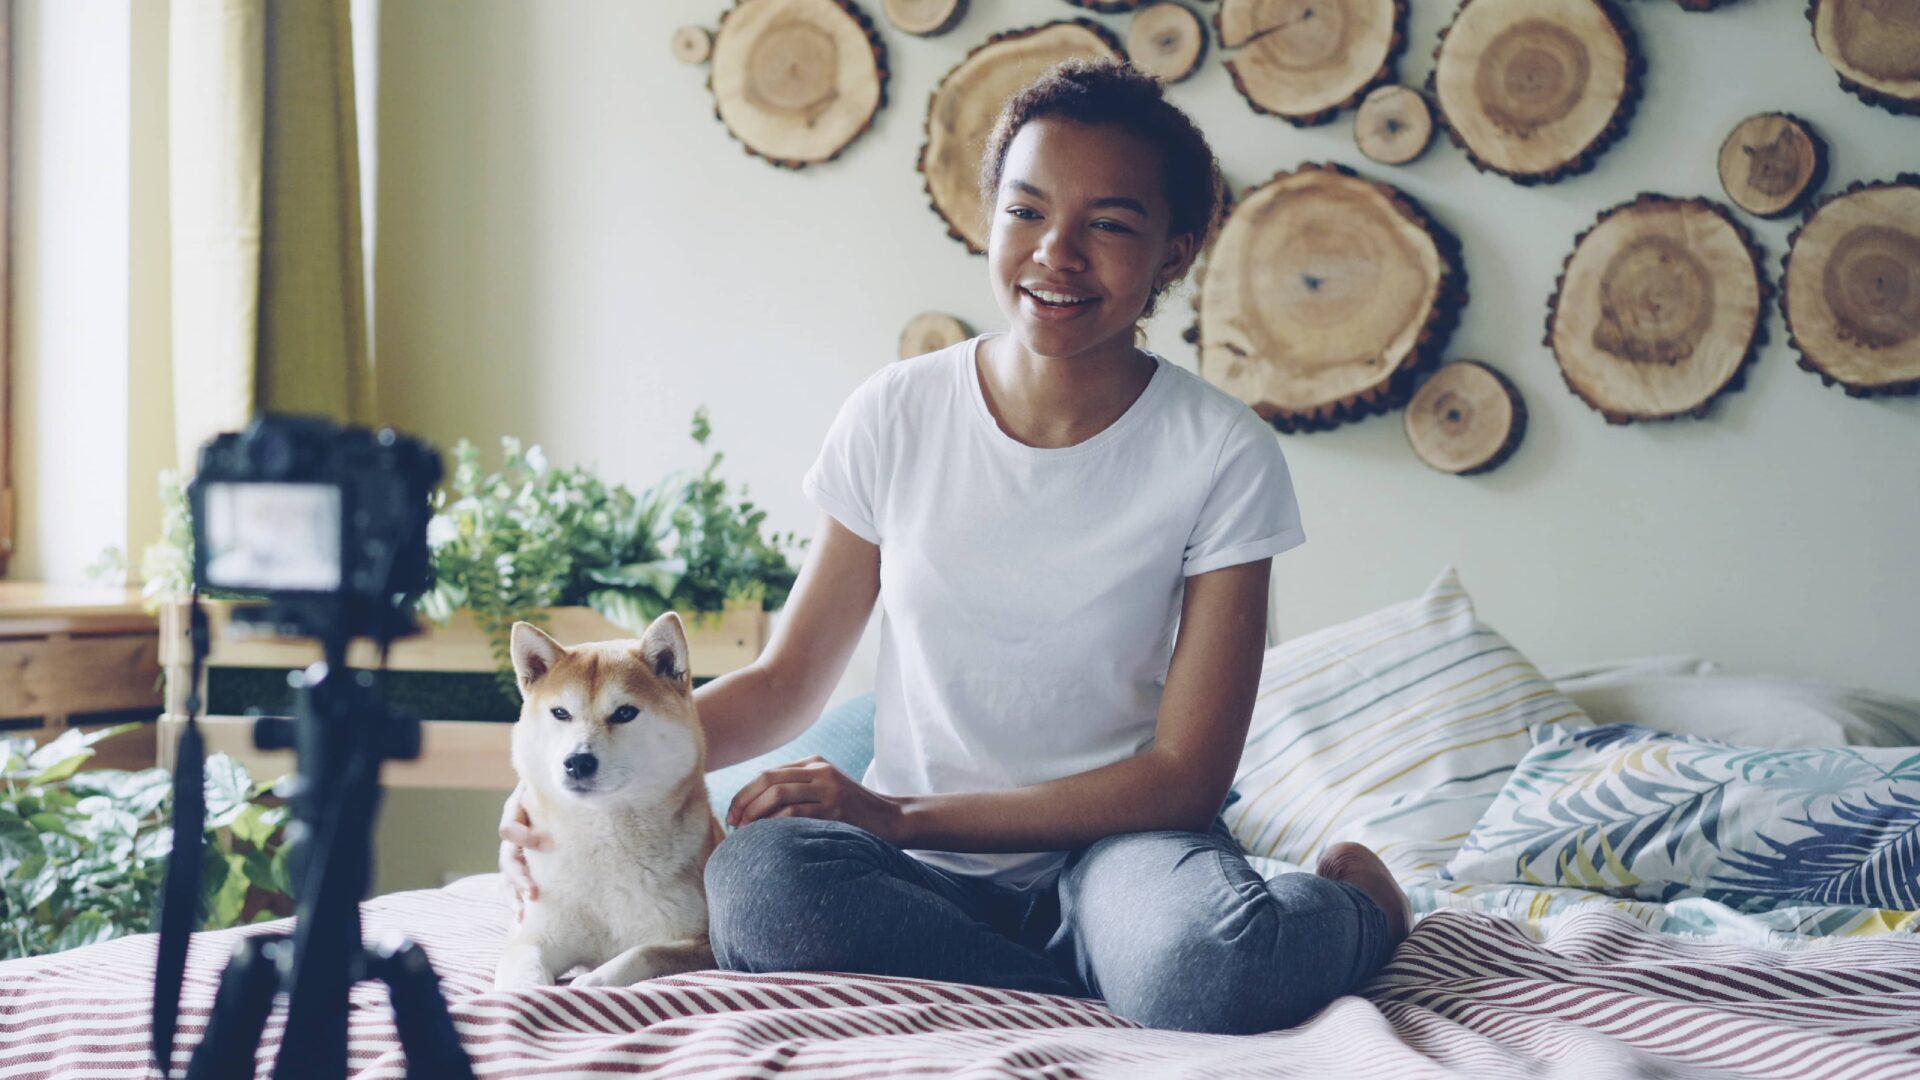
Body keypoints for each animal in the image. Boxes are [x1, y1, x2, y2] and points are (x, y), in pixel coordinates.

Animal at [491, 611, 721, 991]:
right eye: (561, 713)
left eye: (625, 713)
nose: (578, 761)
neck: (603, 845)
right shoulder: (532, 937)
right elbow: (524, 969)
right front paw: (528, 989)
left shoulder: (705, 944)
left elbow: (644, 952)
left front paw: (595, 980)